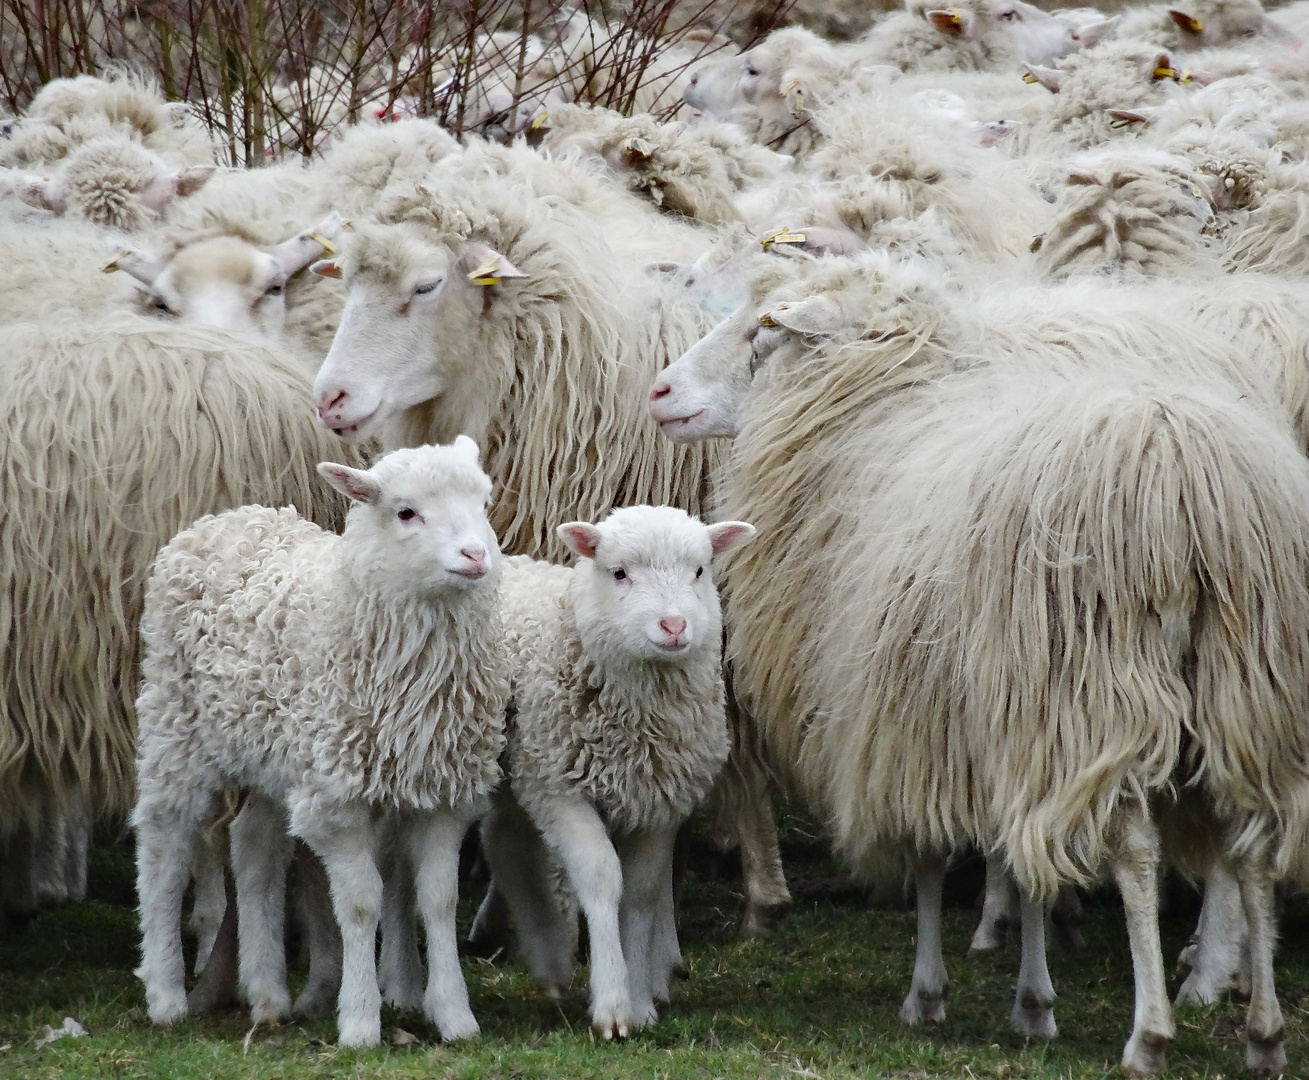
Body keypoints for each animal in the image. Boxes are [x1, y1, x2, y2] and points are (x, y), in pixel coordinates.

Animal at [131, 437, 510, 1047]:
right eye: (406, 512)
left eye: (483, 501)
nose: (476, 556)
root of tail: (226, 518)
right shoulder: (338, 799)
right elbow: (358, 905)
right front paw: (359, 1022)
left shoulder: (444, 792)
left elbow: (439, 900)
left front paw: (455, 1016)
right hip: (176, 727)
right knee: (163, 851)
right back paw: (166, 994)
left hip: (273, 751)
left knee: (255, 846)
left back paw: (266, 994)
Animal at [649, 251, 1309, 1068]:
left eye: (763, 329)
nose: (659, 393)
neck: (880, 417)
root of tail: (1183, 488)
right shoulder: (985, 719)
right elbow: (1020, 862)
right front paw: (1031, 996)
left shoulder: (910, 715)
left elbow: (935, 855)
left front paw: (934, 993)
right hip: (1247, 685)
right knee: (1251, 845)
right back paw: (1263, 1029)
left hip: (1094, 693)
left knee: (1135, 850)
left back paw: (1152, 1029)